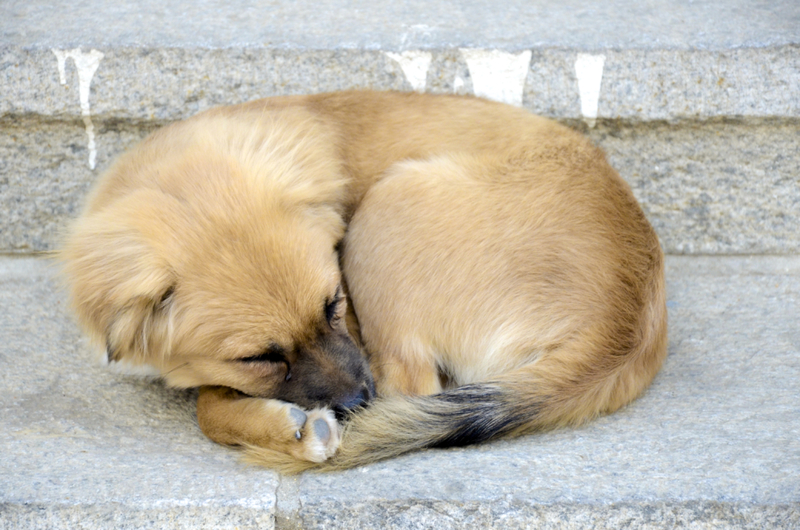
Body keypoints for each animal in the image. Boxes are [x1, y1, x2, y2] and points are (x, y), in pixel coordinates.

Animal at [59, 89, 664, 470]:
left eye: (334, 303)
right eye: (258, 357)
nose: (356, 401)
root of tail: (624, 324)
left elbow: (207, 406)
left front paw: (288, 428)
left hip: (388, 210)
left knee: (412, 388)